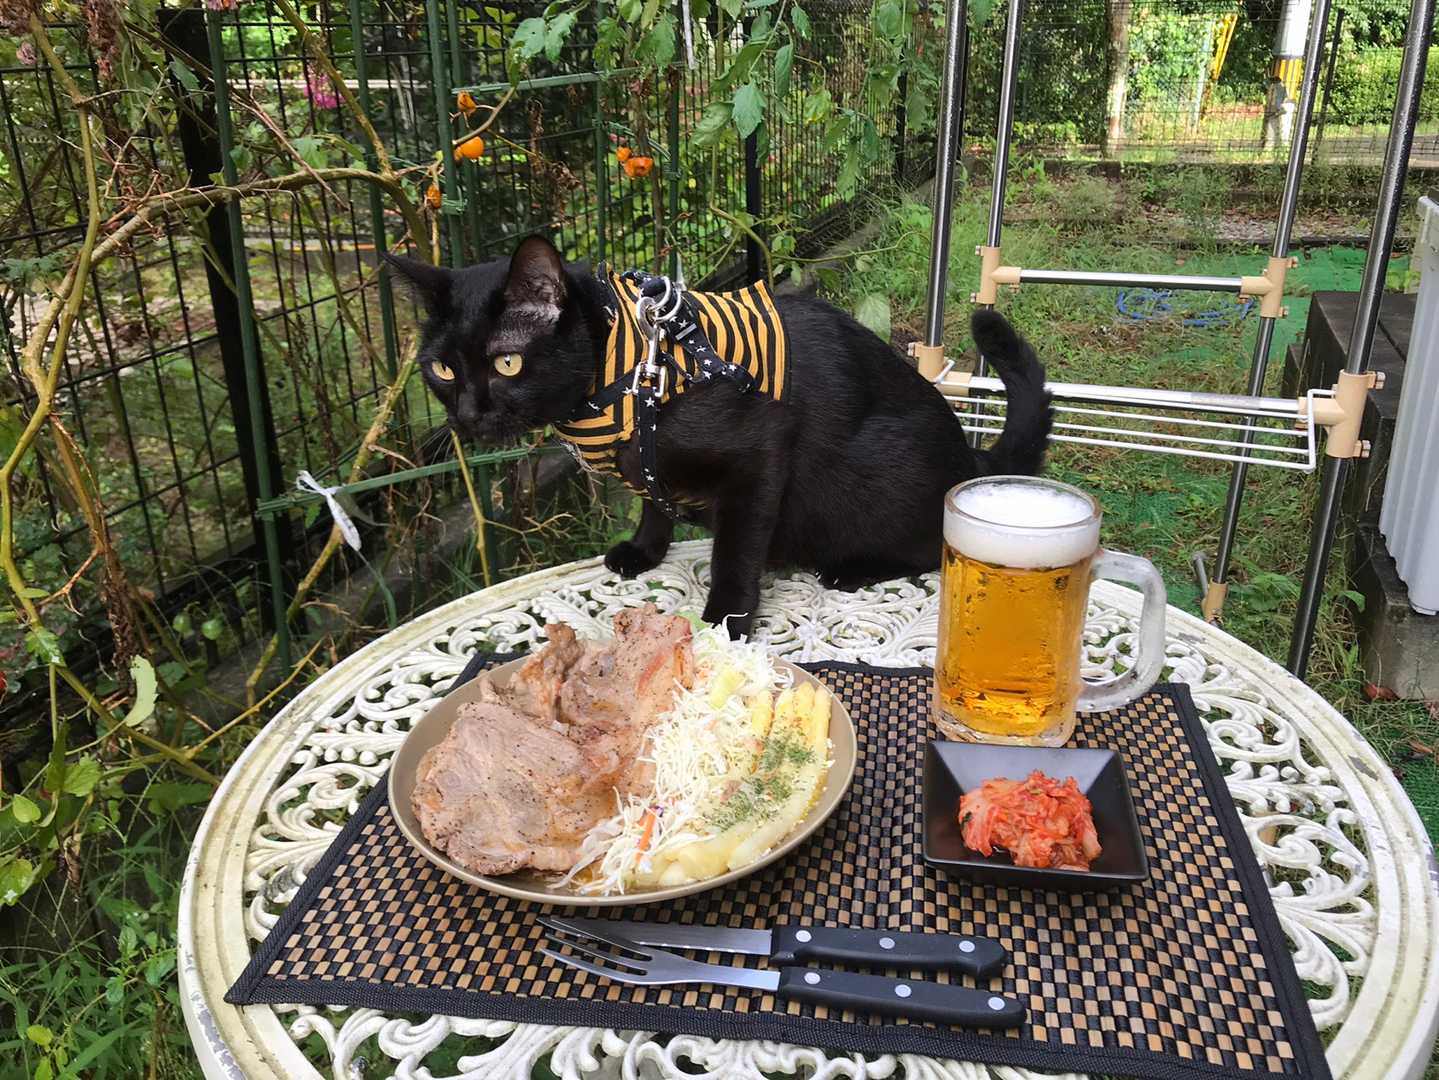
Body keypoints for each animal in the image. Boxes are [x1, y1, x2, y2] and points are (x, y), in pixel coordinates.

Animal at [386, 235, 1052, 637]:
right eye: (442, 369)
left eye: (506, 363)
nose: (468, 414)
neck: (626, 367)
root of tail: (971, 458)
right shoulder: (649, 466)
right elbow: (653, 503)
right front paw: (643, 551)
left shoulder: (757, 457)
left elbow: (733, 551)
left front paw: (725, 619)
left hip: (876, 475)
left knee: (927, 544)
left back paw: (854, 567)